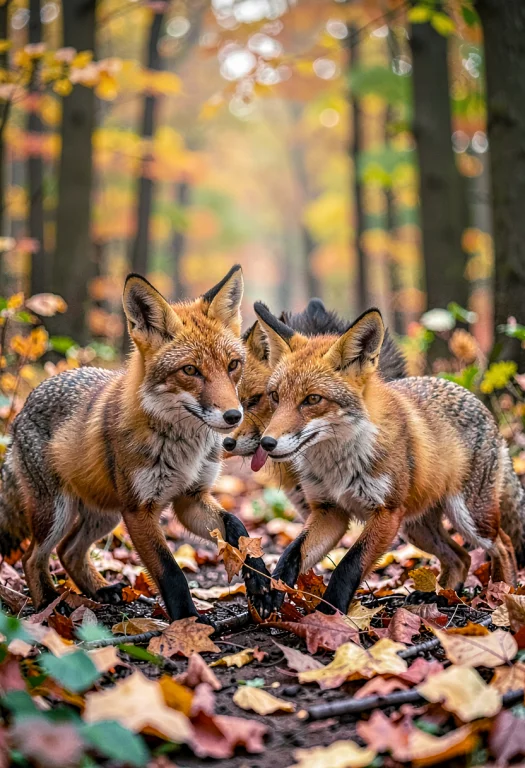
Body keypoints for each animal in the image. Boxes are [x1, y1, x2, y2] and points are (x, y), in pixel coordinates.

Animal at [0, 266, 271, 620]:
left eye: (233, 365)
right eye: (190, 370)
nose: (233, 416)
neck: (185, 450)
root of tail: (22, 409)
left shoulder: (190, 498)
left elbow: (237, 527)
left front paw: (260, 584)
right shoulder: (139, 511)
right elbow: (171, 573)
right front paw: (190, 623)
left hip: (105, 514)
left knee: (69, 551)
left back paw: (100, 590)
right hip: (58, 512)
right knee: (33, 557)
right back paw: (47, 605)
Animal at [248, 301, 525, 619]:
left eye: (312, 399)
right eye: (275, 396)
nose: (266, 443)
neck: (338, 466)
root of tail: (480, 404)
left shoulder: (386, 512)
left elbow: (349, 566)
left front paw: (331, 614)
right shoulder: (329, 511)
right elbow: (291, 553)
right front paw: (270, 591)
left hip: (469, 518)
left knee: (503, 546)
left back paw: (502, 596)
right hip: (416, 529)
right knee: (462, 557)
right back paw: (440, 596)